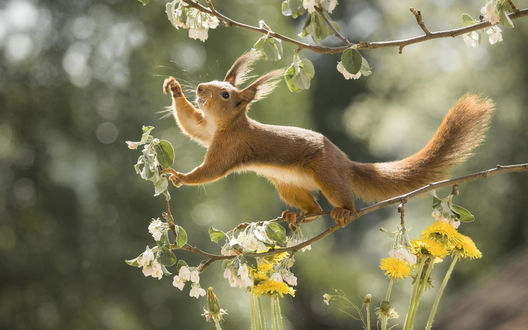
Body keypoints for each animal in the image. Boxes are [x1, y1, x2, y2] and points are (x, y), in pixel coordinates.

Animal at [162, 51, 496, 227]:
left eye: (225, 93)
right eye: (213, 83)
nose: (200, 89)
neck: (226, 125)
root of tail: (345, 162)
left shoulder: (229, 147)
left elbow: (210, 171)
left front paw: (180, 176)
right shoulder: (208, 131)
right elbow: (192, 126)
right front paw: (174, 88)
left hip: (327, 175)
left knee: (340, 198)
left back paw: (343, 211)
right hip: (288, 186)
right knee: (312, 207)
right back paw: (299, 215)